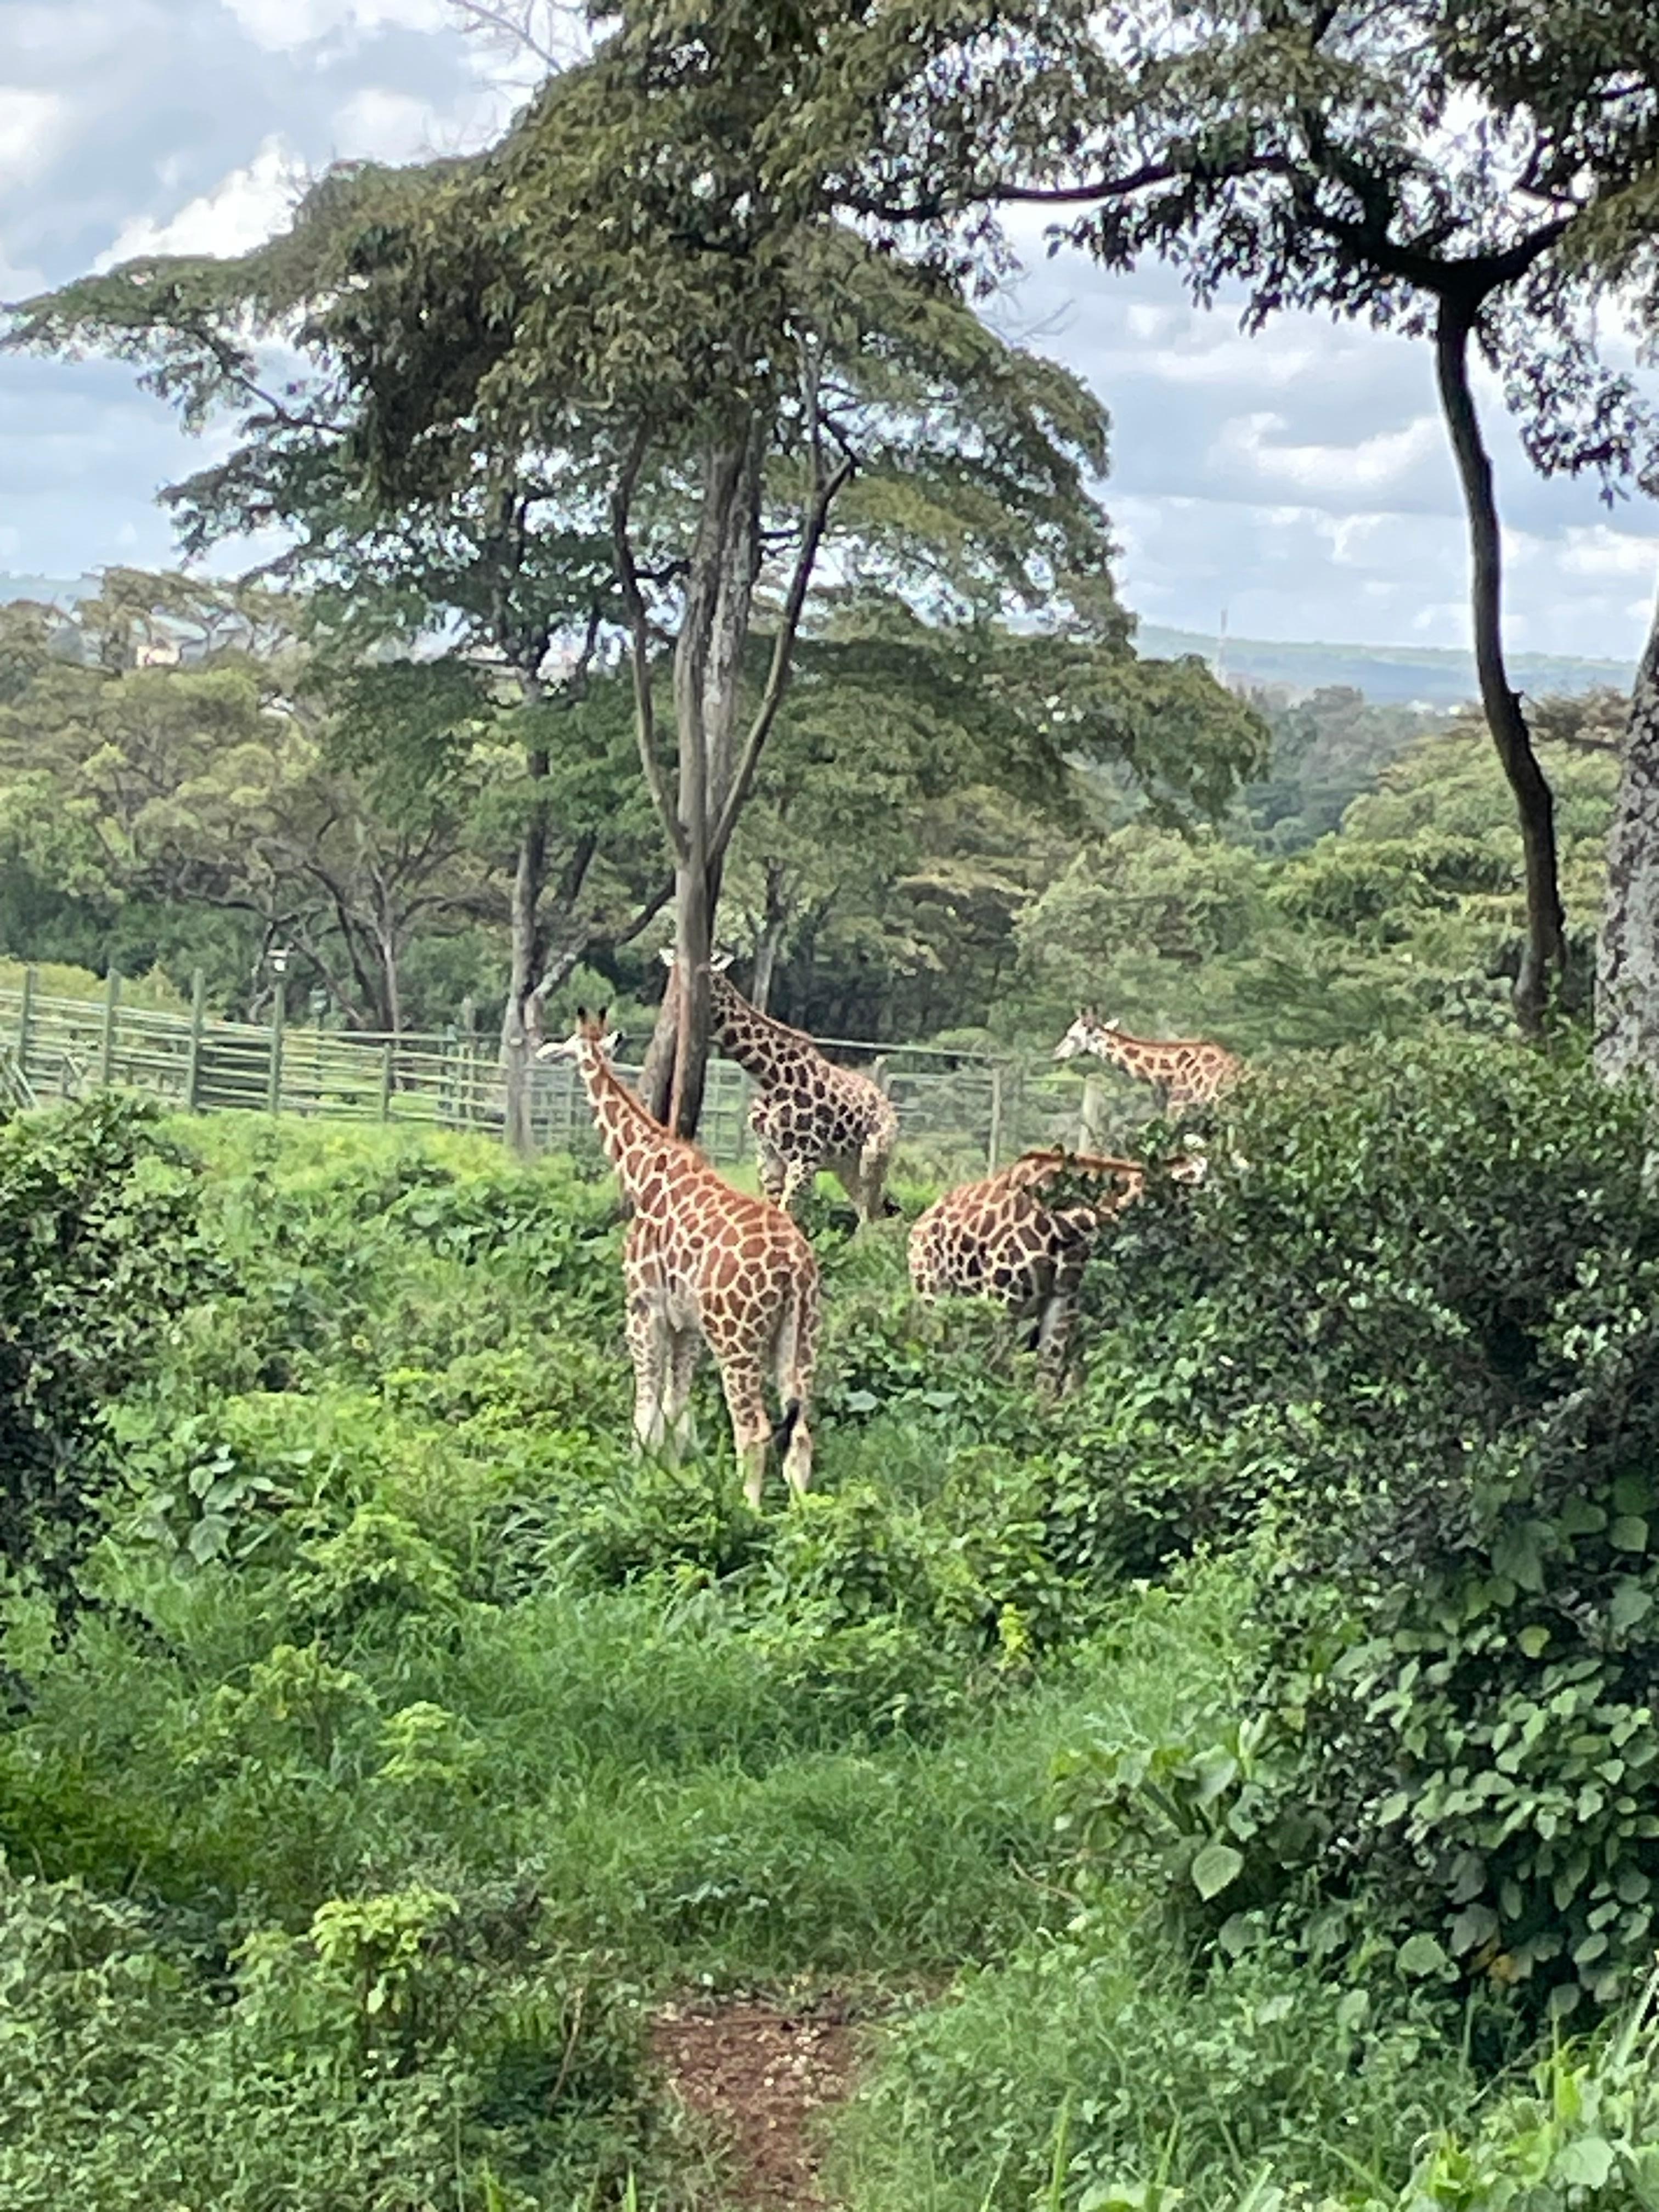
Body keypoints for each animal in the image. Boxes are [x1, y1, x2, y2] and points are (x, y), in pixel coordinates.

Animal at [539, 1010, 819, 1508]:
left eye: (566, 1046)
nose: (545, 1054)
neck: (641, 1170)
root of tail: (796, 1265)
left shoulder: (643, 1307)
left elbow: (646, 1409)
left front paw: (636, 1482)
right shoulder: (686, 1323)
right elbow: (676, 1408)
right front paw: (668, 1480)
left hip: (736, 1338)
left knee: (754, 1430)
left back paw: (747, 1510)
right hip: (800, 1337)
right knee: (801, 1433)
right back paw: (803, 1517)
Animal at [661, 951, 899, 1222]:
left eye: (704, 974)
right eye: (672, 969)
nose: (678, 998)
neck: (769, 1079)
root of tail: (889, 1109)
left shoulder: (805, 1160)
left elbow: (789, 1215)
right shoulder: (768, 1156)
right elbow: (774, 1212)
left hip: (872, 1158)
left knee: (871, 1214)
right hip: (846, 1166)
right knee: (871, 1211)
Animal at [907, 1148, 1147, 1377]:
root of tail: (918, 1224)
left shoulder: (1062, 1299)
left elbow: (1047, 1372)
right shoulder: (1001, 1297)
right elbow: (996, 1365)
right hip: (932, 1289)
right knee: (941, 1340)